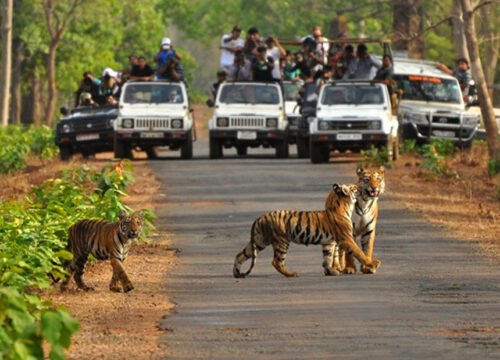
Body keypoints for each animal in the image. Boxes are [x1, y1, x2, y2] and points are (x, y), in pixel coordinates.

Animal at [232, 184, 380, 278]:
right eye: (354, 187)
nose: (362, 188)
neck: (344, 206)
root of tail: (260, 217)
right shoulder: (346, 238)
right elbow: (359, 252)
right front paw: (372, 264)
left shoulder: (329, 242)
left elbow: (328, 257)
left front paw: (330, 271)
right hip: (281, 241)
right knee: (276, 262)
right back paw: (291, 274)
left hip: (259, 241)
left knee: (240, 255)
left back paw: (236, 273)